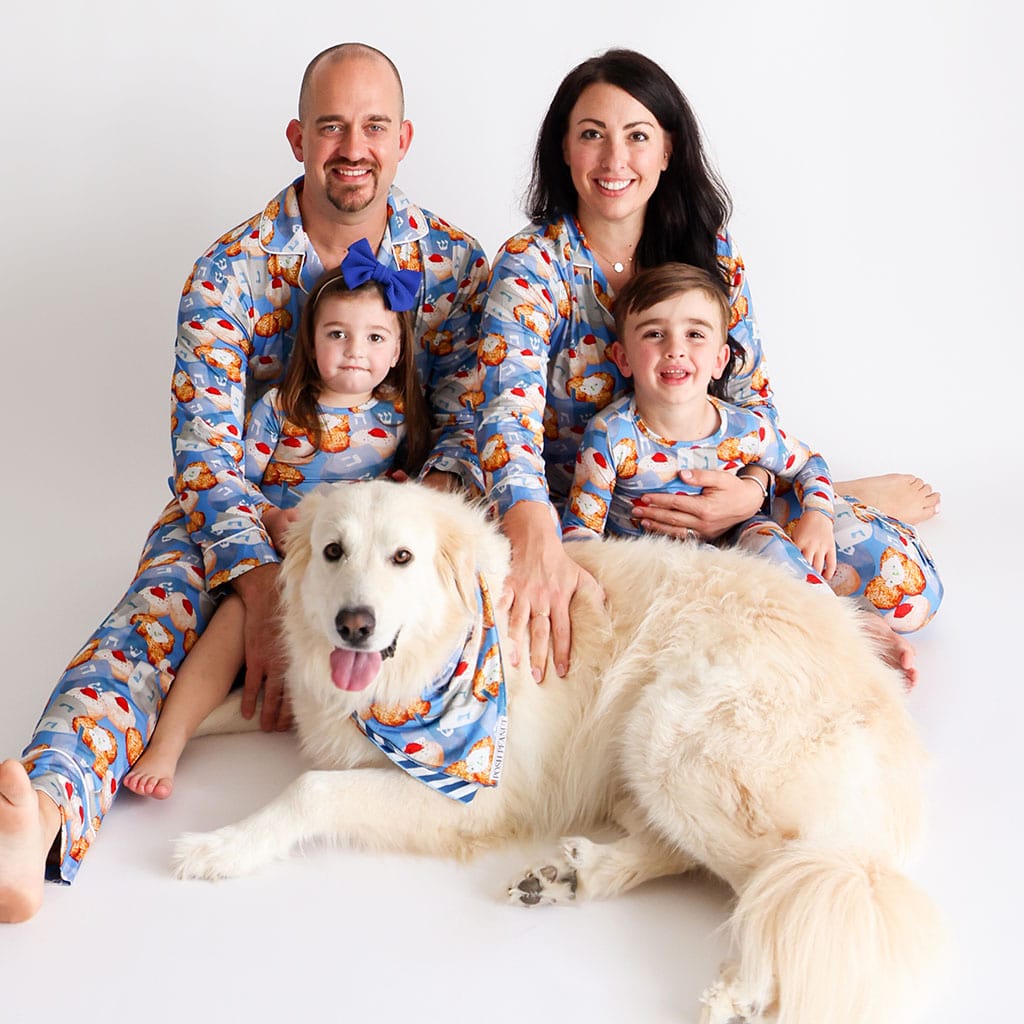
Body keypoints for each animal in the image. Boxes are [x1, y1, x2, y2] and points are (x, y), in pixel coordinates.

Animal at [172, 481, 937, 1024]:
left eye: (402, 558)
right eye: (333, 552)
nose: (352, 625)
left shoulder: (469, 796)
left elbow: (313, 790)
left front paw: (219, 848)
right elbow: (221, 711)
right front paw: (166, 742)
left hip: (668, 735)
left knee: (776, 879)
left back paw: (742, 989)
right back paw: (573, 876)